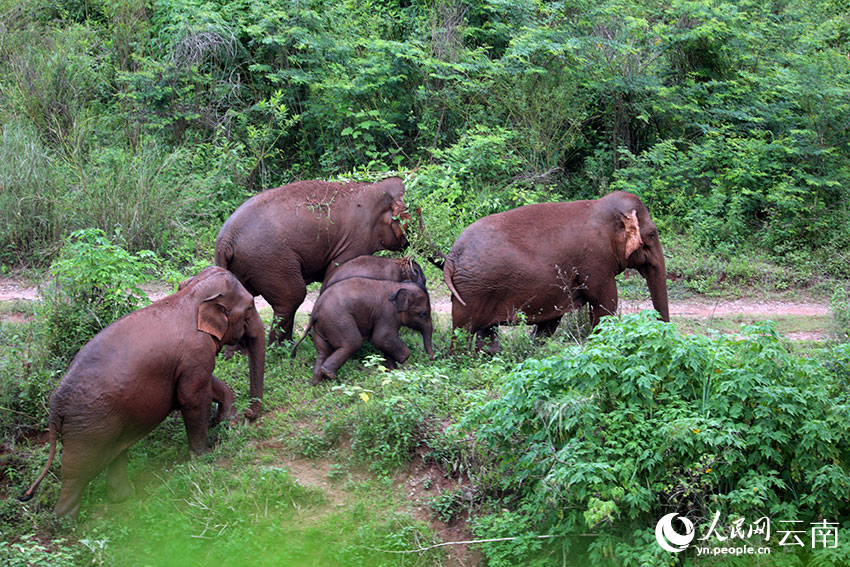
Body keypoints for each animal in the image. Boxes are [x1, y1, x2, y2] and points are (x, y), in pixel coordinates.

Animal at [19, 266, 264, 520]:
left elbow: (206, 384)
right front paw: (203, 457)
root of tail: (55, 407)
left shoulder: (192, 360)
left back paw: (122, 498)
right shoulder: (196, 352)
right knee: (79, 468)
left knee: (115, 451)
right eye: (250, 307)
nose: (249, 414)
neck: (191, 296)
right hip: (87, 426)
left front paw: (229, 422)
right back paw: (67, 519)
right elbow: (192, 397)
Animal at [215, 178, 408, 344]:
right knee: (292, 297)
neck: (376, 188)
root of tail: (226, 239)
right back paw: (282, 349)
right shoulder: (356, 239)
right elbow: (338, 272)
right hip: (269, 261)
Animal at [294, 278, 434, 386]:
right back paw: (328, 374)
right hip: (338, 320)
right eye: (423, 314)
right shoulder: (387, 314)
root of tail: (316, 308)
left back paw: (318, 382)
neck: (397, 286)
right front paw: (405, 363)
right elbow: (381, 338)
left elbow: (384, 342)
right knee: (352, 343)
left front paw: (391, 370)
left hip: (321, 326)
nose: (431, 361)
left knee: (323, 351)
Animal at [444, 191, 668, 350]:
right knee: (463, 330)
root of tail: (452, 255)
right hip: (473, 290)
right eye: (652, 234)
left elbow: (552, 318)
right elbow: (605, 303)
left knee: (485, 331)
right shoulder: (596, 261)